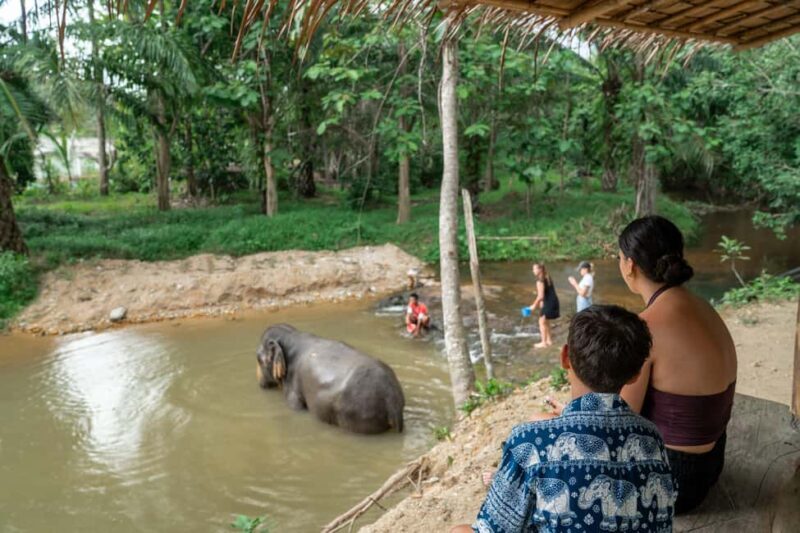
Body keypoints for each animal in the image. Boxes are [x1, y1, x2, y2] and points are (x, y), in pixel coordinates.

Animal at [256, 324, 405, 434]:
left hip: (357, 415)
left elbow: (296, 408)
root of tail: (393, 404)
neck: (292, 335)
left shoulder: (293, 386)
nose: (260, 384)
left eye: (257, 358)